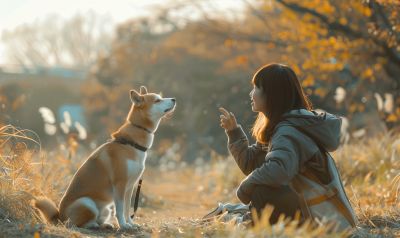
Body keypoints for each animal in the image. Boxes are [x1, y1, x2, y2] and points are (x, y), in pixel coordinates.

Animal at [34, 86, 177, 230]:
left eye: (160, 97)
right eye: (157, 100)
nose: (174, 99)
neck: (130, 143)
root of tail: (59, 217)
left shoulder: (130, 187)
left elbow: (127, 209)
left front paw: (130, 223)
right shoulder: (120, 184)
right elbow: (120, 210)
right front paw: (123, 225)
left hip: (106, 209)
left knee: (98, 219)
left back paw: (105, 224)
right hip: (87, 203)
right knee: (77, 224)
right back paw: (93, 225)